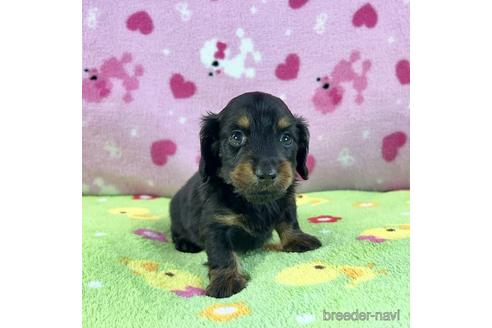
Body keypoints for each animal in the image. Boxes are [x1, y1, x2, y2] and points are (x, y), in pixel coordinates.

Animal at [170, 91, 322, 298]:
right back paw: (186, 243)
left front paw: (297, 238)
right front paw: (226, 280)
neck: (255, 202)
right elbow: (222, 253)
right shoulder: (215, 224)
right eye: (236, 136)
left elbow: (289, 220)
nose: (267, 173)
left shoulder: (286, 200)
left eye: (286, 138)